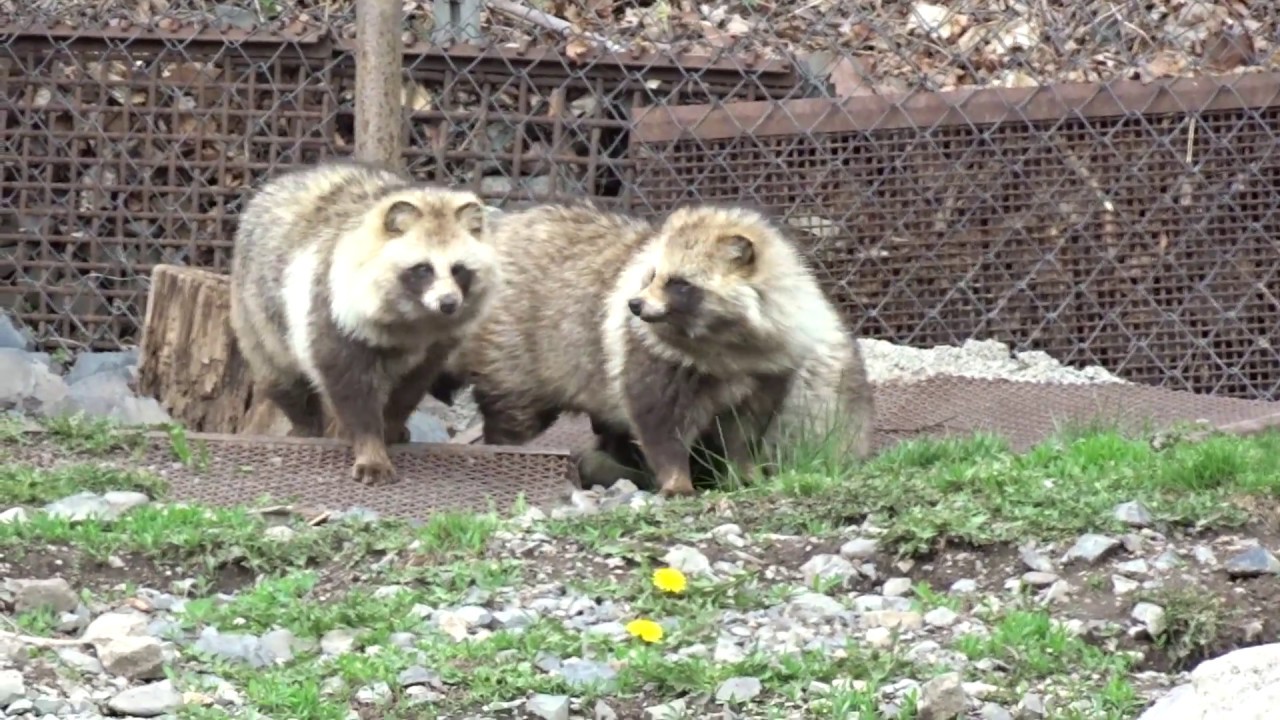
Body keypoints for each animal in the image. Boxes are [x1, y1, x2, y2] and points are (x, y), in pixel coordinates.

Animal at [229, 158, 499, 486]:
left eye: (459, 269)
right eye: (423, 269)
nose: (448, 303)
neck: (416, 316)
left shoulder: (435, 346)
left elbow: (410, 388)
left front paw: (391, 426)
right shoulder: (331, 310)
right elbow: (350, 388)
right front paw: (370, 448)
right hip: (255, 309)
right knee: (279, 375)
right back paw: (305, 423)